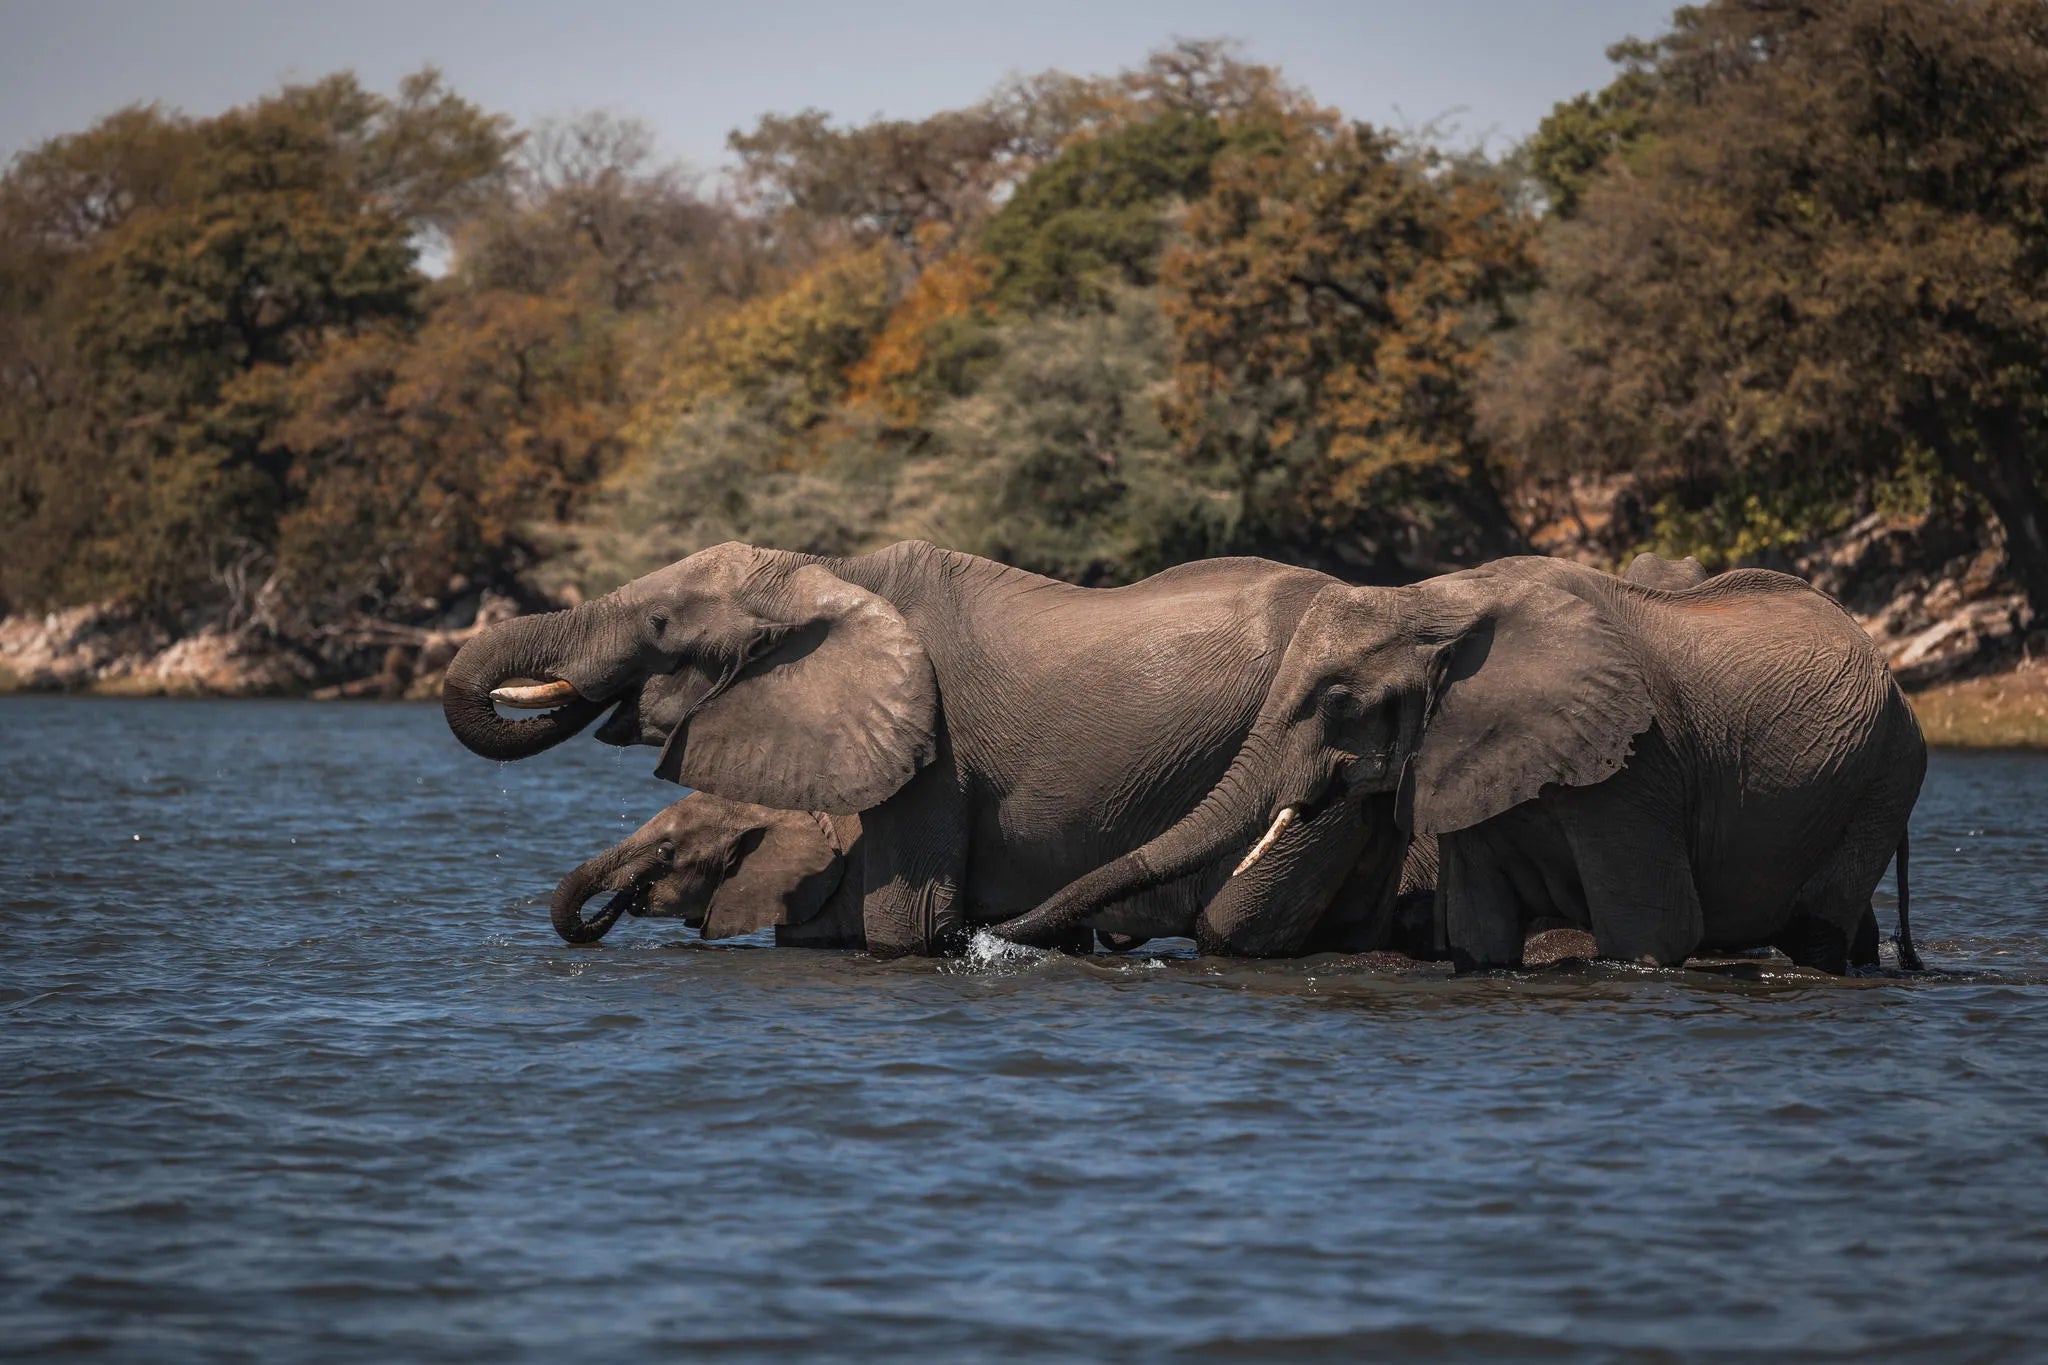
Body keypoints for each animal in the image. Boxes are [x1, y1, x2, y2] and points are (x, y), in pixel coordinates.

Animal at [991, 555, 1926, 974]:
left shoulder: (1639, 765)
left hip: (1882, 775)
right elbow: (1478, 937)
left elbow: (1653, 933)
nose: (985, 938)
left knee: (1817, 930)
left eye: (1336, 699)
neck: (1438, 600)